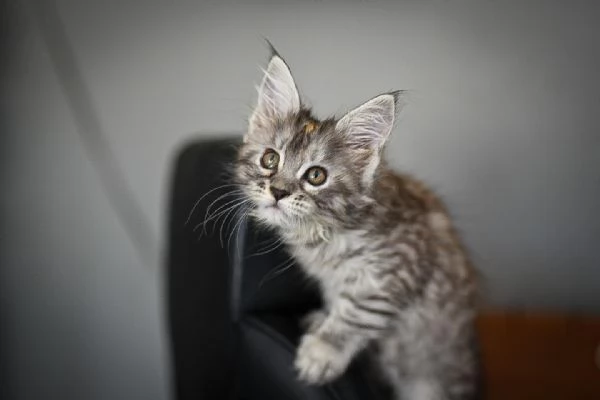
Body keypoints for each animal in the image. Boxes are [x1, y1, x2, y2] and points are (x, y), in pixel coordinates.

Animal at [237, 50, 480, 400]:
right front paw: (323, 319)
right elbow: (337, 301)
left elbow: (354, 315)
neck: (322, 233)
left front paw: (323, 352)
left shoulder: (394, 268)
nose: (278, 192)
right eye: (270, 159)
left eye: (316, 176)